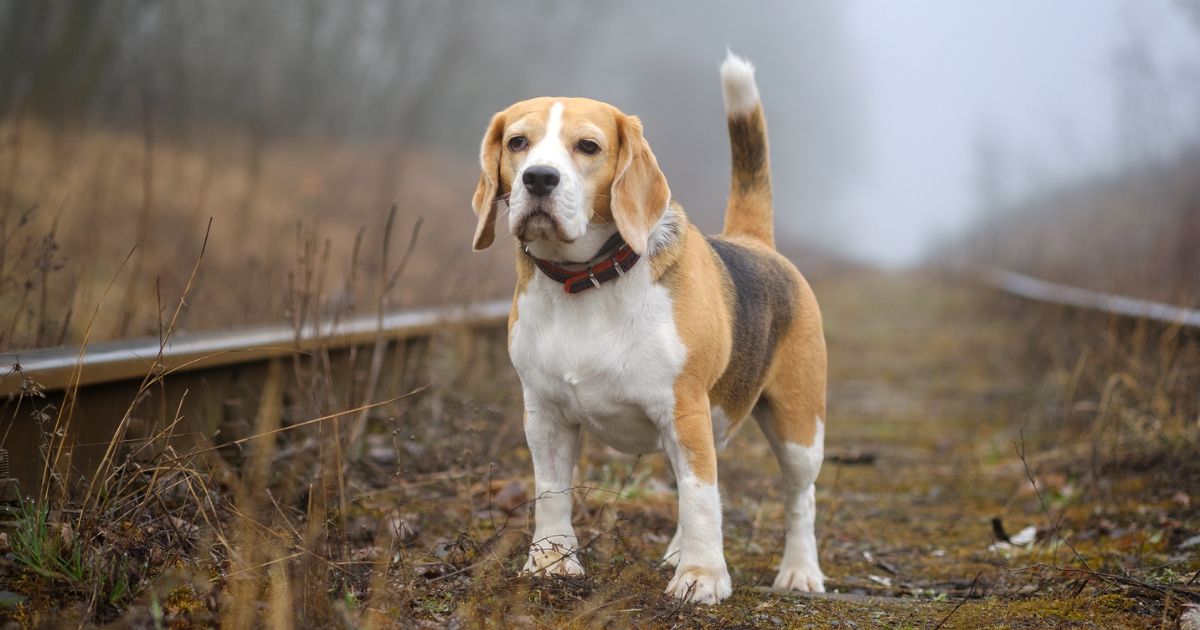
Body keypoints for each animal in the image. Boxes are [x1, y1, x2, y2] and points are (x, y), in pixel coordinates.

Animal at [468, 51, 825, 602]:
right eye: (517, 143)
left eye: (588, 146)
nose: (539, 179)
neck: (588, 281)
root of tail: (752, 241)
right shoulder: (544, 413)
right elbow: (551, 491)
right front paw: (551, 561)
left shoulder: (684, 411)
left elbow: (701, 497)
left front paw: (701, 576)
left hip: (798, 426)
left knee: (799, 497)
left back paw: (800, 571)